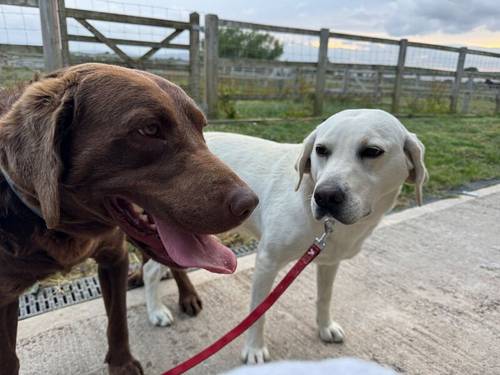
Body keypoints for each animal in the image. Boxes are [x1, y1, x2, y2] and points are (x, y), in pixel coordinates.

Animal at [0, 63, 258, 374]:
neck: (63, 228)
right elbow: (8, 357)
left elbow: (117, 320)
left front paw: (122, 364)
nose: (250, 203)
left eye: (201, 127)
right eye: (149, 129)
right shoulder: (4, 295)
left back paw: (186, 294)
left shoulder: (114, 257)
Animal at [141, 108, 426, 364]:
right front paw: (254, 349)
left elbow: (324, 297)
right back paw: (156, 311)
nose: (325, 196)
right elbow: (258, 311)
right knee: (149, 270)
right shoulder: (267, 261)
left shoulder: (329, 262)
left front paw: (325, 327)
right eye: (321, 150)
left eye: (372, 151)